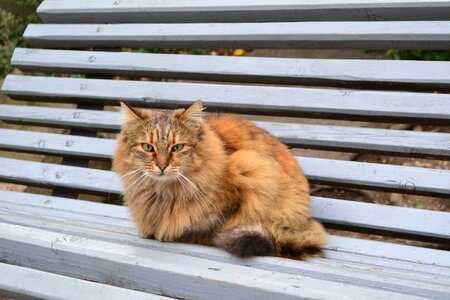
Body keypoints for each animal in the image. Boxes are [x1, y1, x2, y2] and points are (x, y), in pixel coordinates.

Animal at [112, 101, 326, 260]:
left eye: (177, 147)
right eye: (148, 147)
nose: (162, 166)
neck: (164, 193)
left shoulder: (246, 176)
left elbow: (207, 230)